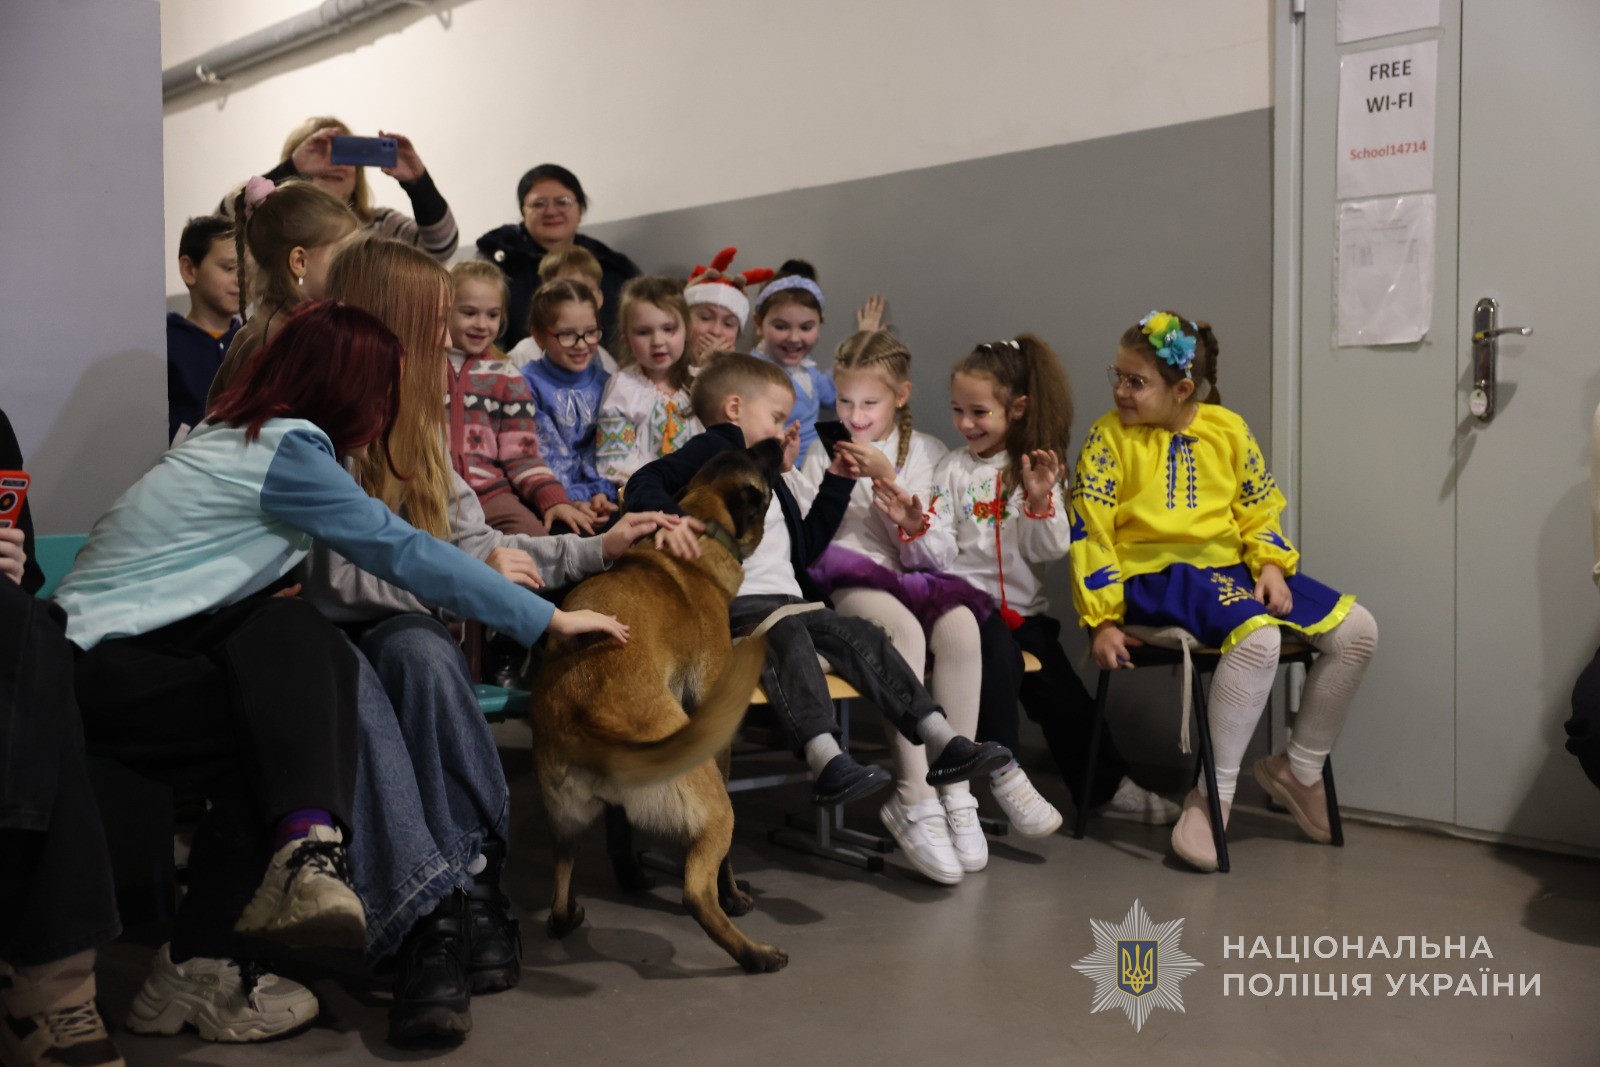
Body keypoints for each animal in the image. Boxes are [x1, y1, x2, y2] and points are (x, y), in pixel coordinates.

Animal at [527, 439, 788, 974]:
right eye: (761, 463)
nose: (777, 440)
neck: (702, 520)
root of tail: (590, 720)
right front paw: (735, 896)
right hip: (714, 800)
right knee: (695, 895)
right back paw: (754, 954)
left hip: (564, 822)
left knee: (561, 887)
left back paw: (571, 915)